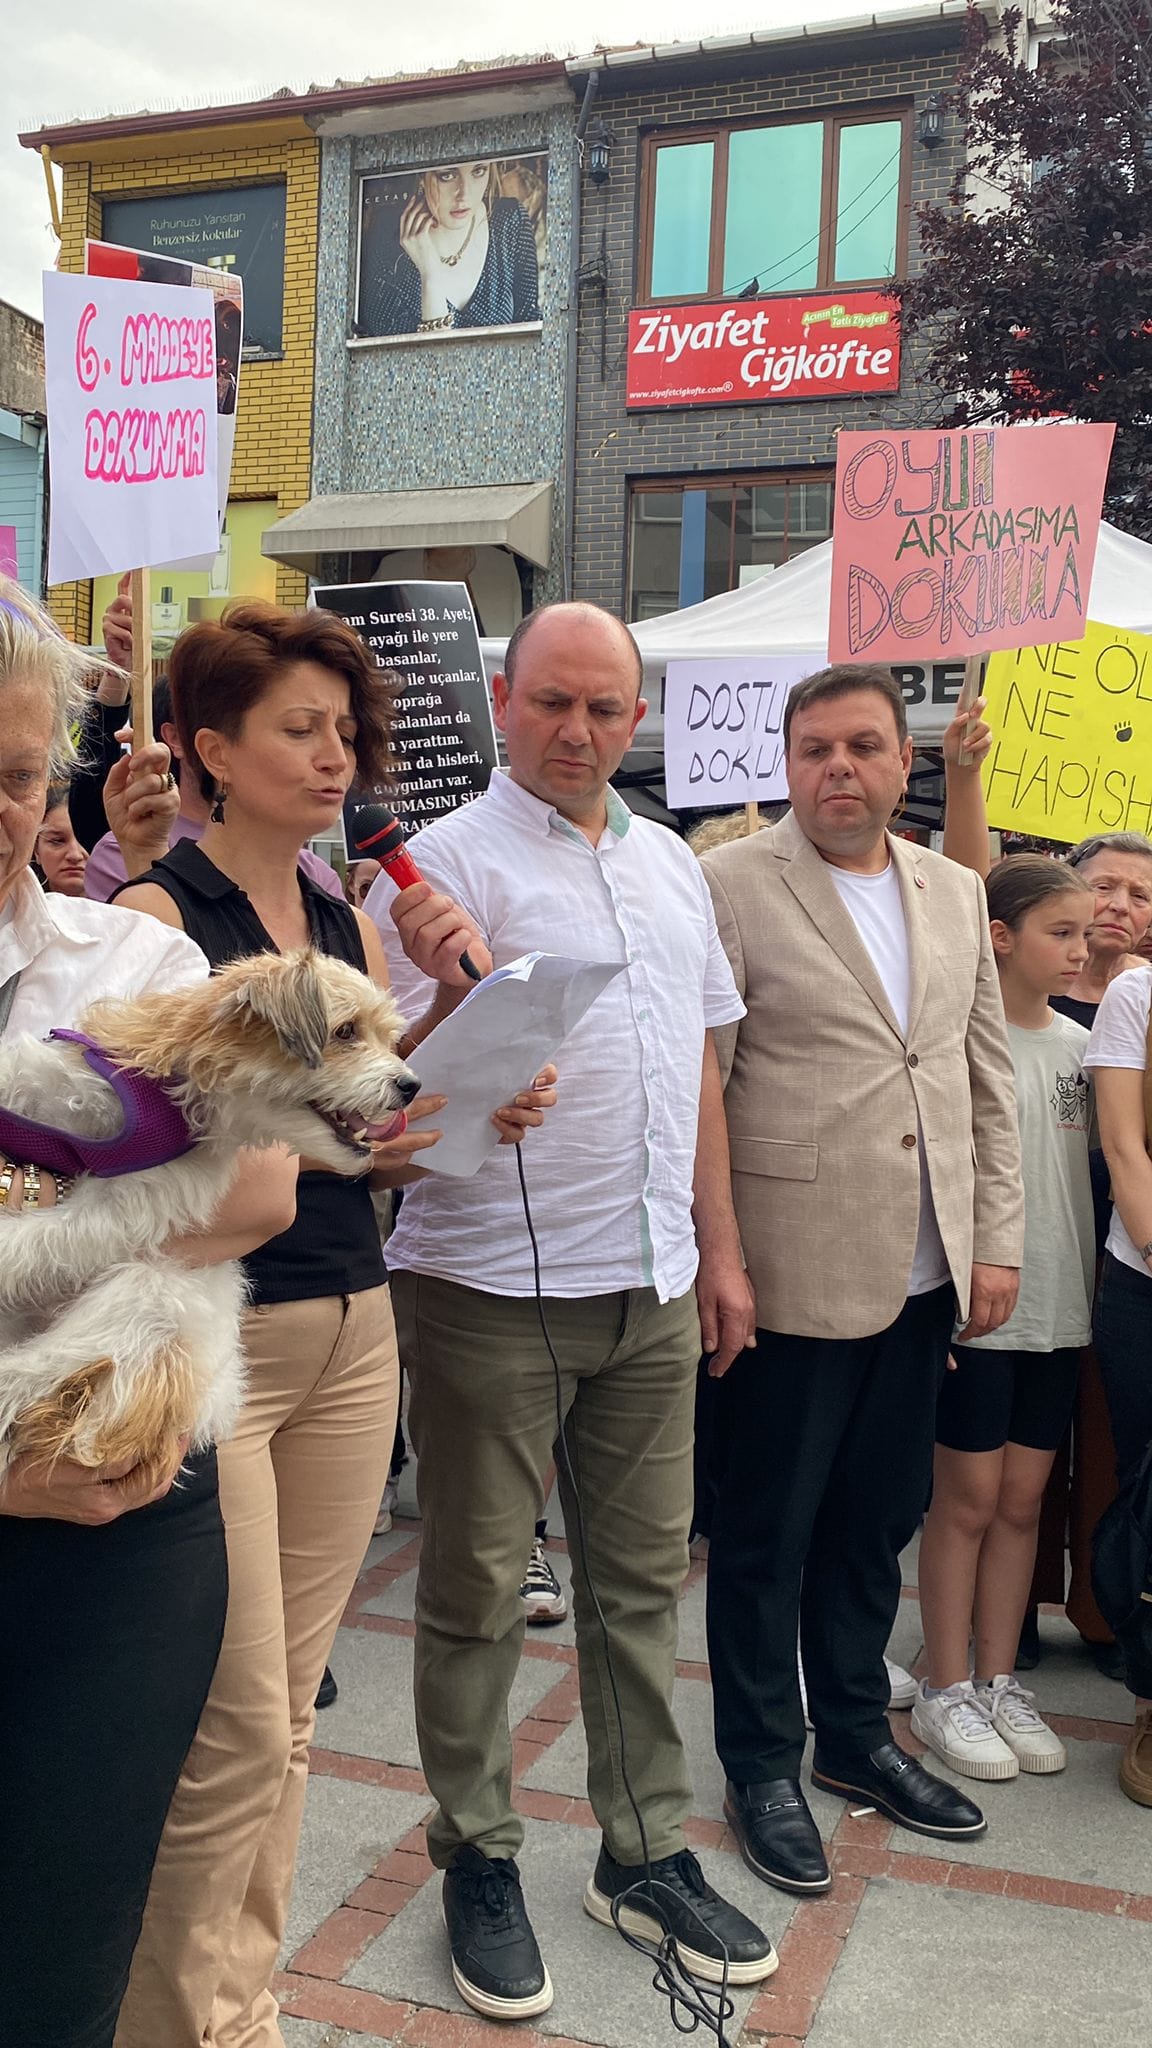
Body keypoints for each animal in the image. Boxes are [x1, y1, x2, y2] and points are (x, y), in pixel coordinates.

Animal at [0, 949, 417, 1491]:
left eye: (390, 1039)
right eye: (346, 1031)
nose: (412, 1085)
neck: (172, 1097)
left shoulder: (131, 1205)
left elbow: (37, 1239)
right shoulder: (49, 1085)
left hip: (149, 1295)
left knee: (34, 1377)